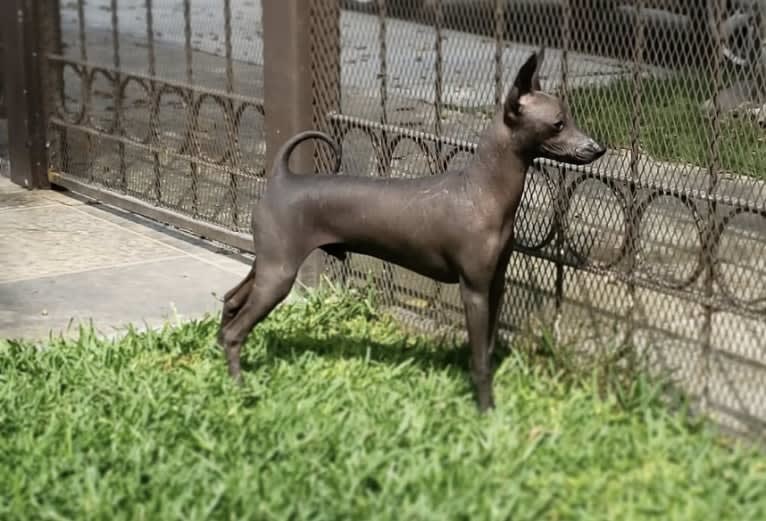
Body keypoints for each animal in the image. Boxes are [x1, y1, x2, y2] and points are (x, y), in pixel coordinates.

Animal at [218, 49, 608, 410]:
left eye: (570, 119)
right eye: (558, 124)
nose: (598, 148)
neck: (481, 190)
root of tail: (282, 178)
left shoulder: (495, 285)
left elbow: (488, 348)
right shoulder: (474, 289)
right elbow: (479, 360)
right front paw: (486, 411)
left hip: (268, 264)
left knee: (231, 301)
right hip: (279, 274)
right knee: (238, 329)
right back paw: (239, 390)